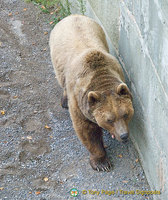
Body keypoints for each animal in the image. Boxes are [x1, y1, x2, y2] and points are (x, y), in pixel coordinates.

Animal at [49, 14, 134, 171]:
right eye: (109, 119)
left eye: (125, 114)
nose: (124, 135)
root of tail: (72, 16)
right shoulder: (79, 101)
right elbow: (86, 130)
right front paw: (102, 162)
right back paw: (64, 102)